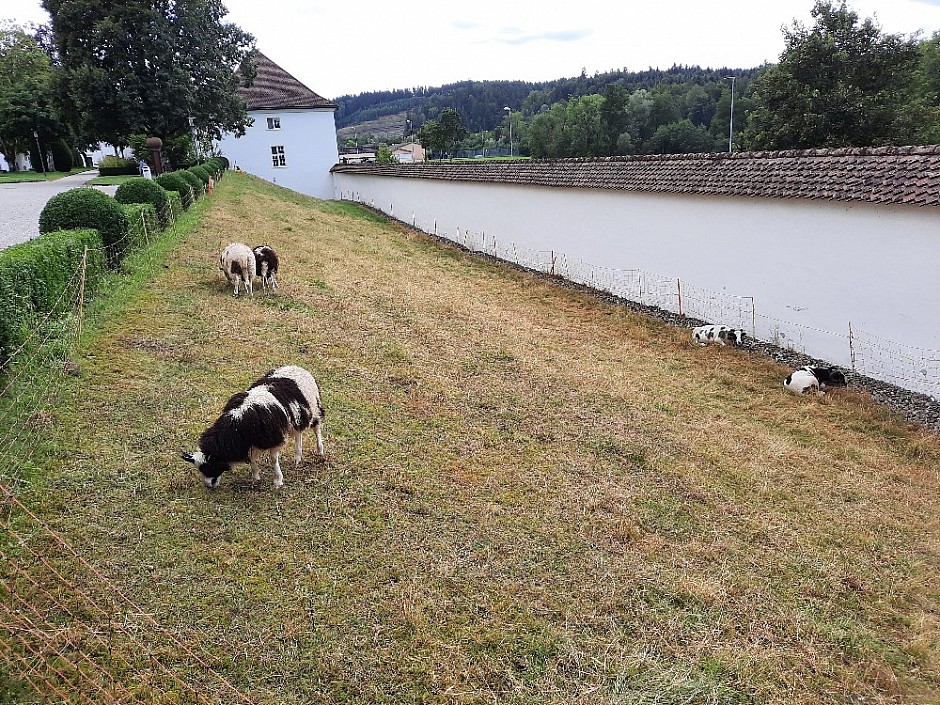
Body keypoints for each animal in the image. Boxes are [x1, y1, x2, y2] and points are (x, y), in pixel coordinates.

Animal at [182, 366, 324, 486]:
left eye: (210, 466)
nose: (209, 486)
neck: (239, 422)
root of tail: (299, 367)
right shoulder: (253, 442)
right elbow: (253, 459)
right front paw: (256, 477)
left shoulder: (273, 439)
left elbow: (273, 460)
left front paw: (278, 480)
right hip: (297, 418)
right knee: (298, 434)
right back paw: (297, 458)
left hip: (314, 409)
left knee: (316, 429)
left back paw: (320, 450)